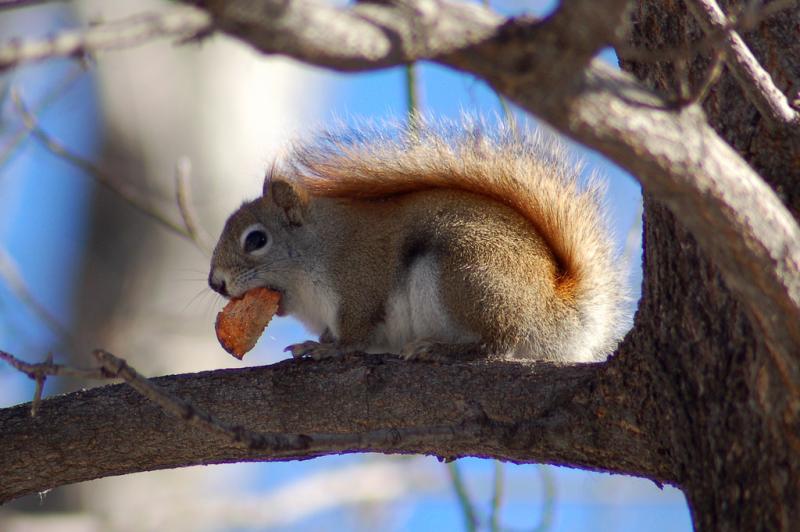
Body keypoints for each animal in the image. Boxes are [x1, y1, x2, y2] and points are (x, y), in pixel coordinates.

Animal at [209, 124, 628, 362]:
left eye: (256, 240)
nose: (216, 283)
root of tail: (557, 315)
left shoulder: (359, 281)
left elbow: (355, 334)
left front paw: (327, 348)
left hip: (465, 277)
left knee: (501, 343)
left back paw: (443, 349)